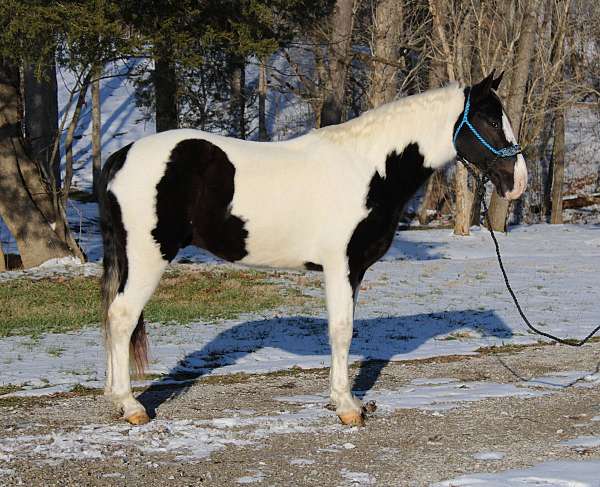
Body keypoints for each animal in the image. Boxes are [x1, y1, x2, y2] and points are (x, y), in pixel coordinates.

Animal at [97, 71, 524, 428]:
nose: (517, 182)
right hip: (147, 257)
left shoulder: (355, 270)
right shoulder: (341, 267)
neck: (369, 169)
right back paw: (131, 406)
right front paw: (348, 408)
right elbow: (341, 331)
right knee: (121, 317)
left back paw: (116, 399)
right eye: (490, 120)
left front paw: (344, 400)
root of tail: (122, 156)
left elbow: (344, 330)